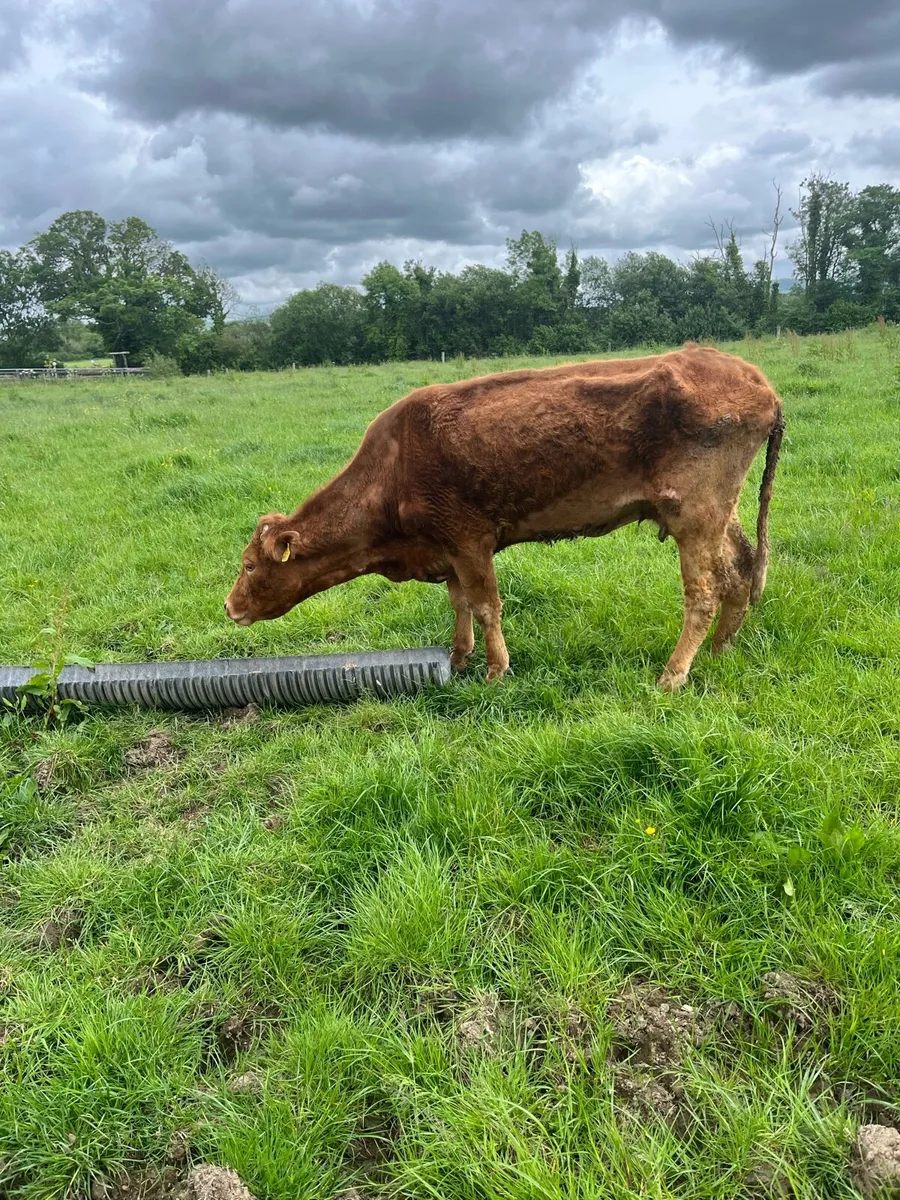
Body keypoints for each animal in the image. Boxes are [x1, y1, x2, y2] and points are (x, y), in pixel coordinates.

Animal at [225, 345, 784, 690]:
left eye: (250, 566)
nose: (230, 607)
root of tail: (758, 382)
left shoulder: (469, 538)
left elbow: (486, 605)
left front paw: (496, 672)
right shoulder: (446, 549)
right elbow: (460, 605)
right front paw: (458, 658)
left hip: (695, 513)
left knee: (704, 593)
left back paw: (672, 675)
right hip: (718, 512)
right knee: (741, 570)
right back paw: (721, 651)